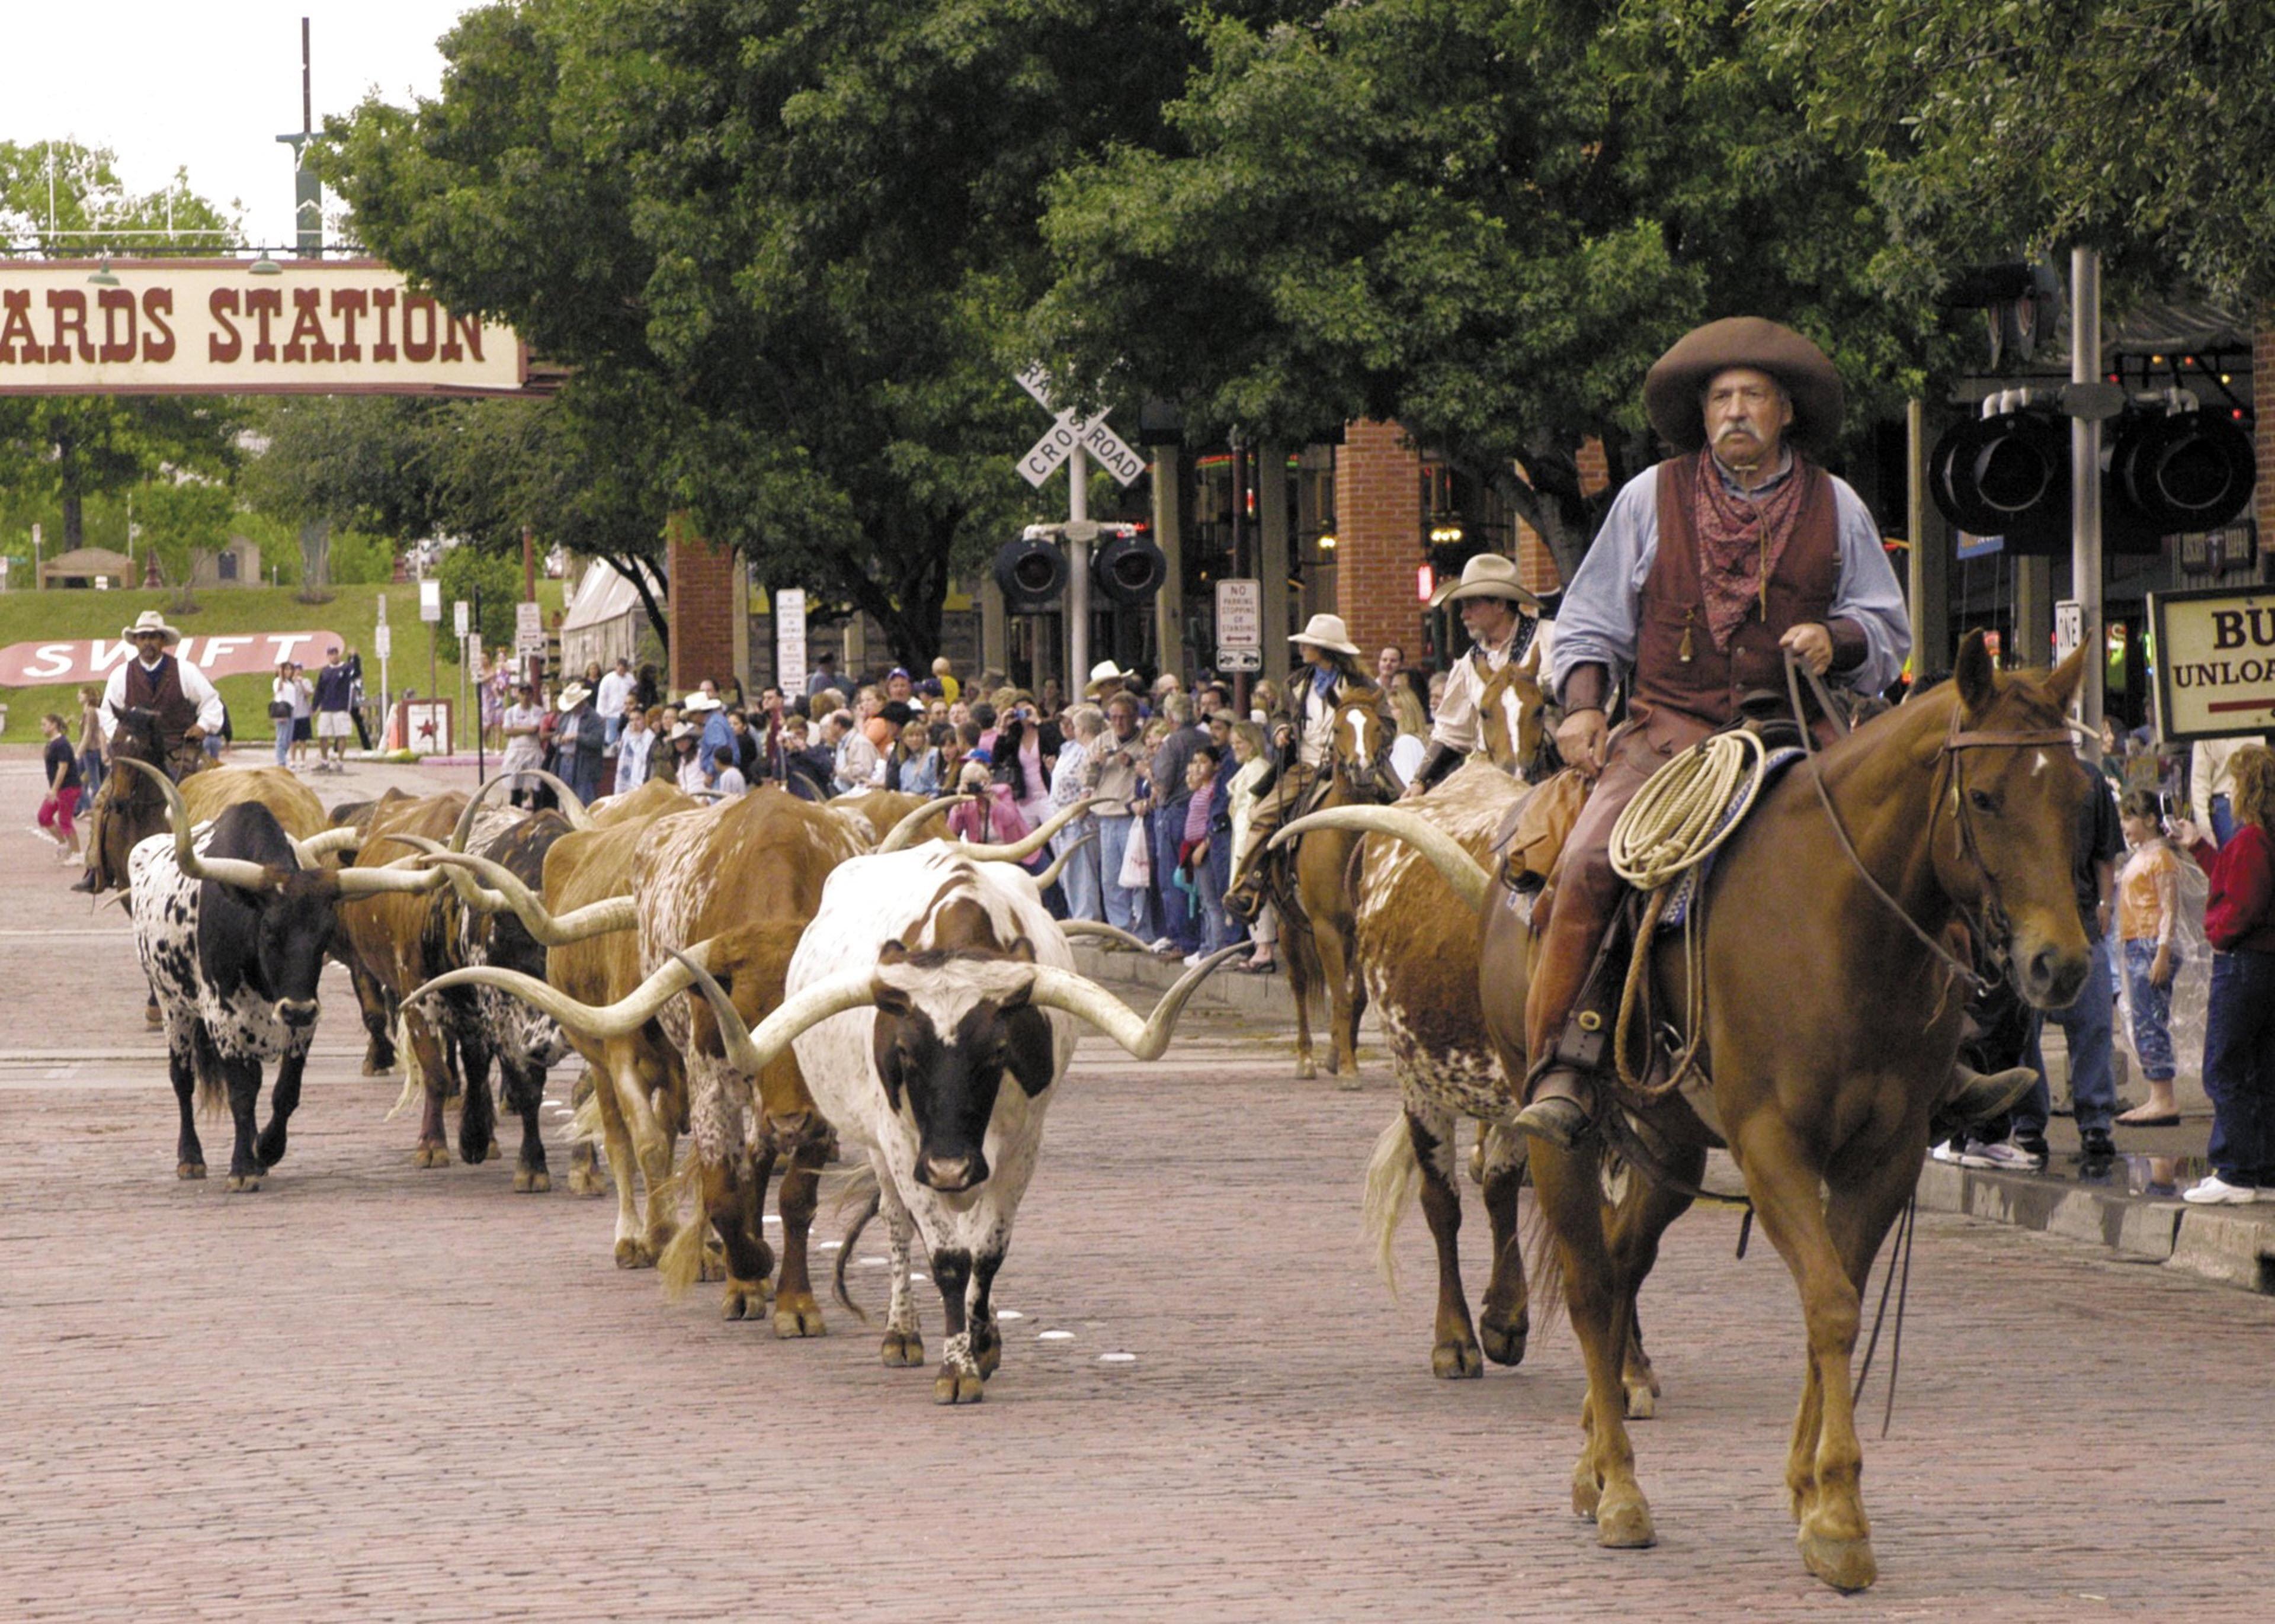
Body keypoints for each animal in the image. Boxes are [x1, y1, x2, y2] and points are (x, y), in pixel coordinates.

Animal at [1337, 627, 2084, 1583]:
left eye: (2078, 796)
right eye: (1984, 797)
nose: (2059, 964)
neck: (1845, 926)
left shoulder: (1886, 1156)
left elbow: (1834, 1301)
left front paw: (1812, 1493)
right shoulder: (1773, 1147)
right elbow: (1830, 1303)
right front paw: (1839, 1515)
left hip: (1667, 1145)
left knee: (1621, 1265)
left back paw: (1596, 1448)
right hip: (1527, 1118)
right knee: (1574, 1273)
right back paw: (1607, 1477)